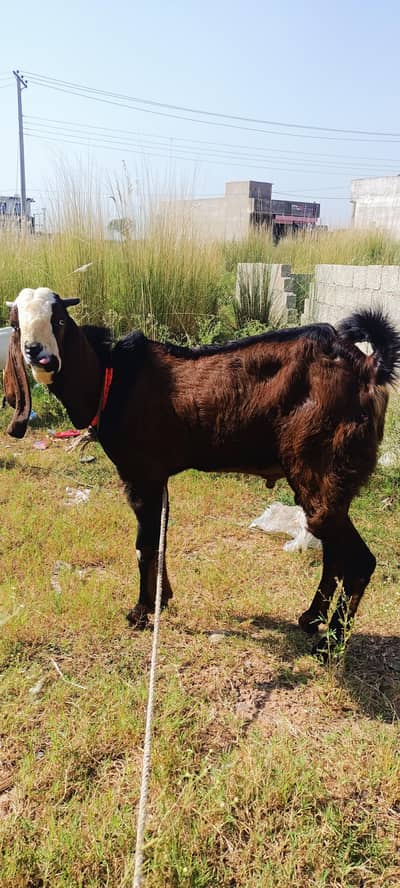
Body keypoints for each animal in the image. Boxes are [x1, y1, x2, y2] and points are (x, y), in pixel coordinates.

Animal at [4, 287, 400, 658]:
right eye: (18, 324)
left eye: (58, 320)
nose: (39, 354)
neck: (111, 378)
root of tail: (369, 366)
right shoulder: (158, 477)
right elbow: (160, 539)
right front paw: (162, 599)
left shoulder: (141, 474)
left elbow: (144, 545)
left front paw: (141, 612)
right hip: (328, 482)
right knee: (334, 554)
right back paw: (311, 619)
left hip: (322, 467)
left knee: (358, 560)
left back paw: (329, 645)